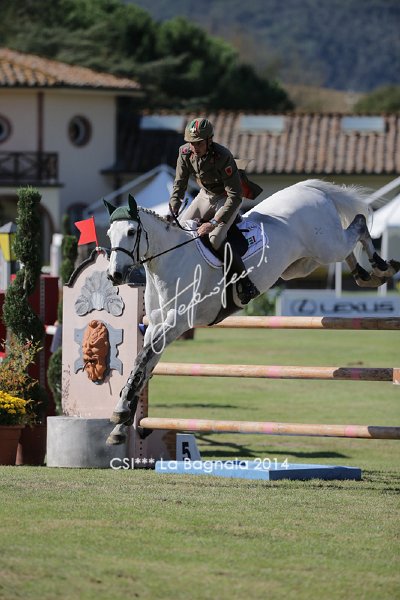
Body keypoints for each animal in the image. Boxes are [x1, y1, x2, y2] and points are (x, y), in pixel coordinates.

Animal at [104, 179, 399, 444]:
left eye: (131, 232)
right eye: (109, 235)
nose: (115, 275)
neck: (169, 259)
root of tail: (309, 187)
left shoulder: (175, 324)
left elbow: (141, 360)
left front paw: (120, 413)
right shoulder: (155, 325)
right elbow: (144, 367)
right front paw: (121, 425)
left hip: (326, 247)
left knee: (358, 225)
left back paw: (382, 266)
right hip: (303, 263)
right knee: (348, 245)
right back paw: (365, 274)